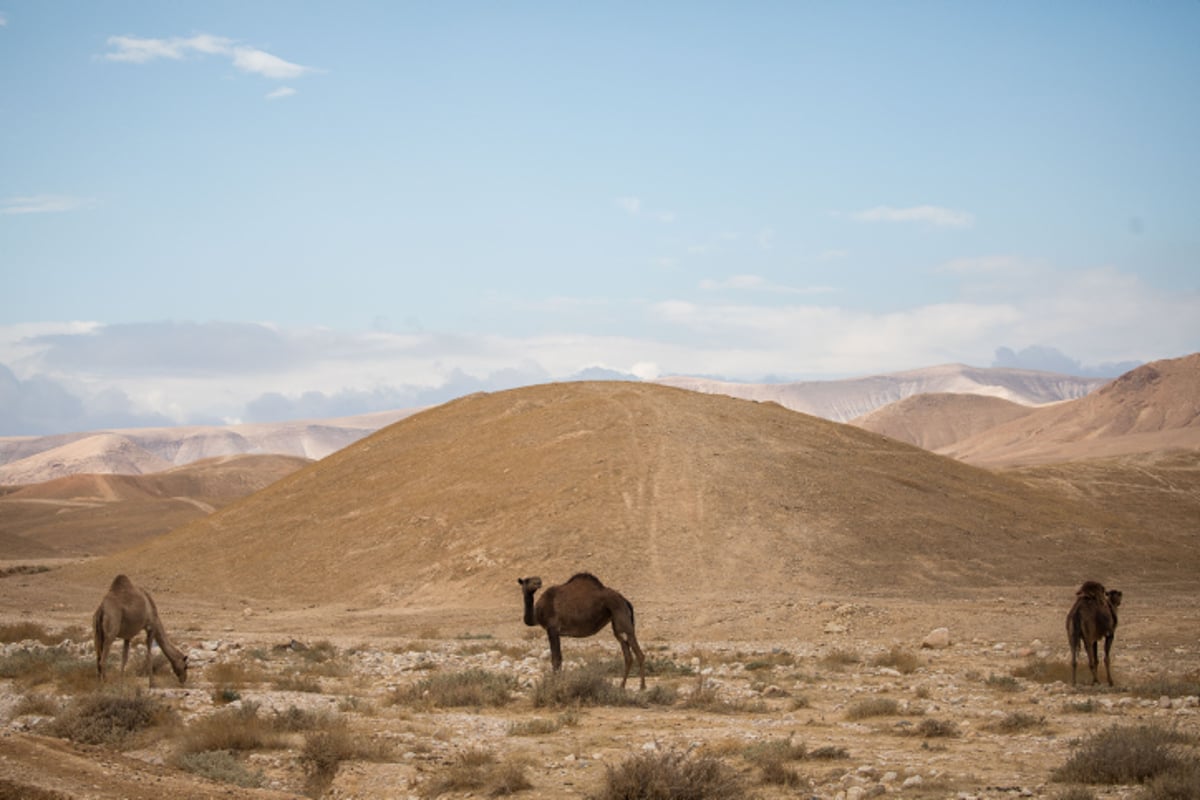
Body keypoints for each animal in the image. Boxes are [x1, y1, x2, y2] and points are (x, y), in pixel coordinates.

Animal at [516, 573, 648, 690]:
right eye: (527, 580)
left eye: (534, 579)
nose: (538, 582)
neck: (537, 615)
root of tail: (625, 600)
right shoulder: (554, 631)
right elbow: (558, 658)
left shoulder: (552, 629)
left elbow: (556, 659)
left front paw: (555, 684)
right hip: (616, 623)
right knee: (627, 654)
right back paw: (622, 686)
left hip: (621, 615)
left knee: (637, 651)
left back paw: (642, 686)